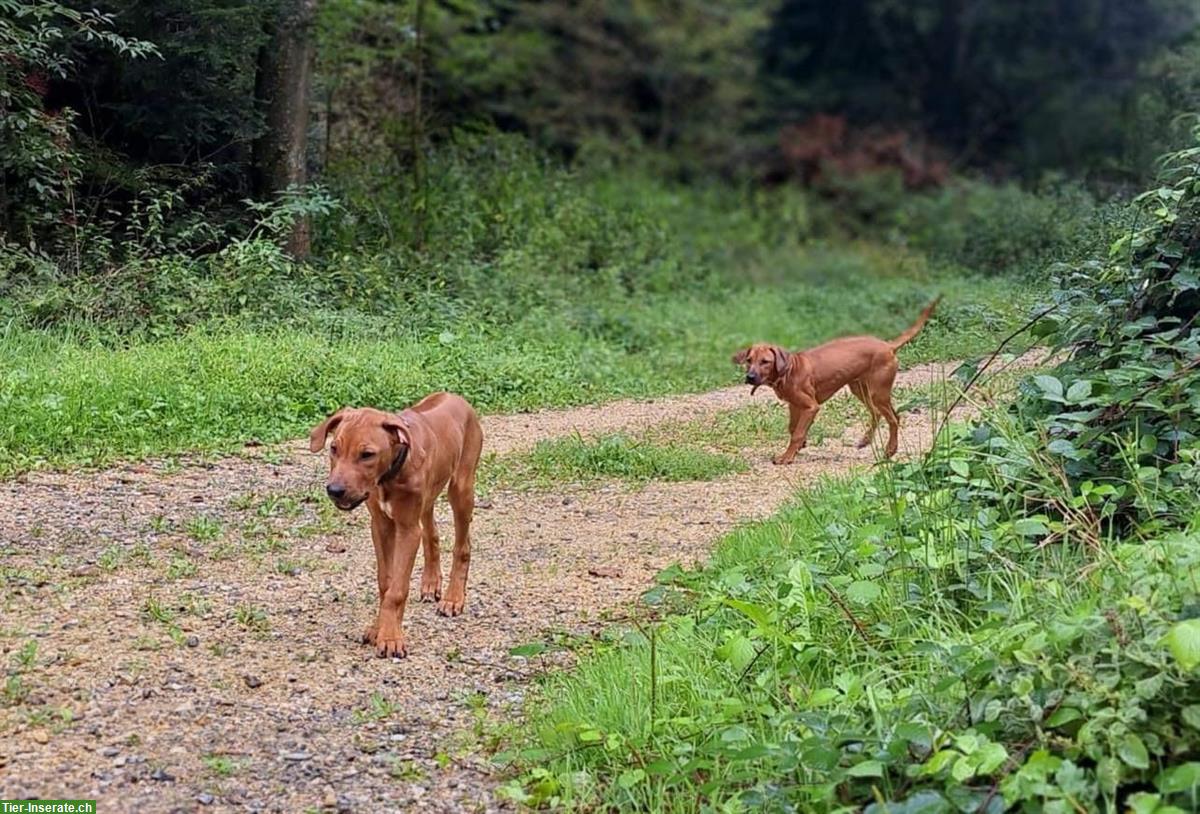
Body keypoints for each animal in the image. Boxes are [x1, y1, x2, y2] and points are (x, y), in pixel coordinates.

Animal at [309, 391, 482, 657]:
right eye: (334, 448)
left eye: (367, 455)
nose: (334, 490)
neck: (389, 476)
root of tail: (455, 396)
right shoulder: (381, 526)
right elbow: (386, 582)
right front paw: (379, 627)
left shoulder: (407, 531)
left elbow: (397, 589)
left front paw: (390, 637)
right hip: (427, 499)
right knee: (431, 535)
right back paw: (431, 583)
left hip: (461, 489)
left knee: (462, 546)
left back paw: (453, 598)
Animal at [729, 297, 936, 465]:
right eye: (749, 360)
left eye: (765, 362)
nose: (750, 377)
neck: (788, 370)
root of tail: (888, 346)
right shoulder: (794, 406)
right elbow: (793, 428)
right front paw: (799, 446)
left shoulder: (810, 406)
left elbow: (797, 433)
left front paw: (787, 457)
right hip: (861, 389)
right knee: (881, 414)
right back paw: (866, 440)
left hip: (877, 392)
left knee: (892, 418)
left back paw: (890, 450)